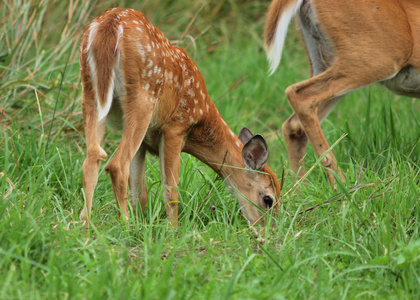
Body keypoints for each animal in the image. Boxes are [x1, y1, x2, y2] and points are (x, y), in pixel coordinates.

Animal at [79, 7, 282, 225]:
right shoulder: (176, 127)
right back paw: (123, 224)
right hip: (142, 98)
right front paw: (171, 228)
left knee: (92, 157)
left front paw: (142, 223)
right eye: (268, 199)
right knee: (116, 165)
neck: (201, 116)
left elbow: (140, 193)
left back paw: (87, 223)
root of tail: (109, 25)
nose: (266, 229)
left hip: (91, 93)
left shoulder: (146, 142)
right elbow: (171, 190)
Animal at [266, 0, 420, 184]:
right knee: (299, 94)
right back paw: (341, 184)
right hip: (375, 57)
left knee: (294, 124)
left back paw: (301, 186)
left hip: (324, 57)